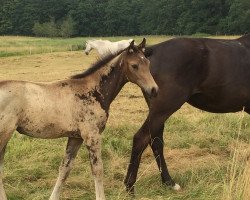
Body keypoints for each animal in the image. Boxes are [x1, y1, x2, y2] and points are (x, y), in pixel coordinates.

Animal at [0, 39, 158, 200]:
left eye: (148, 63)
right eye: (134, 65)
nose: (154, 90)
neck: (93, 90)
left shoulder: (76, 137)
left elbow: (65, 168)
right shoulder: (92, 135)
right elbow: (97, 169)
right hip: (4, 133)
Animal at [124, 34, 250, 194]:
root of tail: (153, 50)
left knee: (156, 141)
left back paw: (169, 182)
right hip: (164, 107)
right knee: (141, 138)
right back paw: (130, 187)